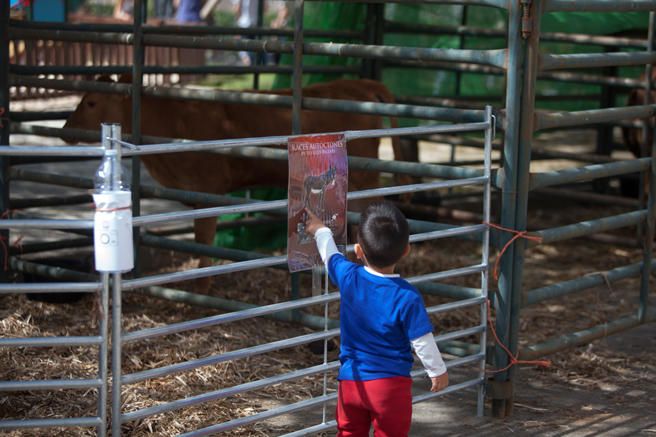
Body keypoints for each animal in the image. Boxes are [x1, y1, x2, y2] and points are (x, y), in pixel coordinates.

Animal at [66, 78, 412, 292]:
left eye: (92, 102)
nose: (66, 128)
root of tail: (357, 83)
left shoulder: (207, 191)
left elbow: (203, 241)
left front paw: (201, 288)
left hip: (366, 176)